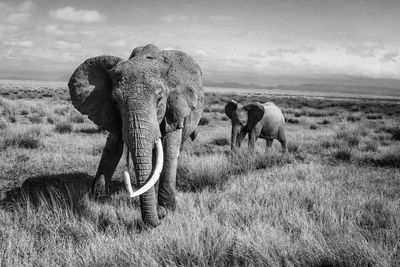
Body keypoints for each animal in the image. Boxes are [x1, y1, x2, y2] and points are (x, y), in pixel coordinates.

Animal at [68, 44, 203, 228]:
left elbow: (169, 150)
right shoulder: (114, 115)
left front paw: (168, 208)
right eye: (115, 102)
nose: (161, 214)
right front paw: (98, 199)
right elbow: (113, 146)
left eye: (160, 98)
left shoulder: (175, 107)